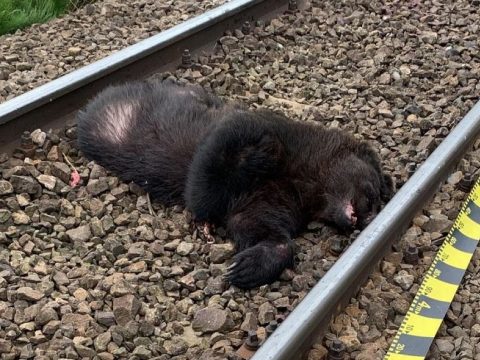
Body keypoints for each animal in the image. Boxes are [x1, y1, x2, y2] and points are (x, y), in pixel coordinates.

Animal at [78, 79, 394, 290]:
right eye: (373, 192)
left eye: (378, 201)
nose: (368, 217)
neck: (304, 178)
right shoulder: (255, 131)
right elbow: (211, 165)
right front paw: (204, 220)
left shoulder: (273, 201)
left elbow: (262, 229)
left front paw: (245, 267)